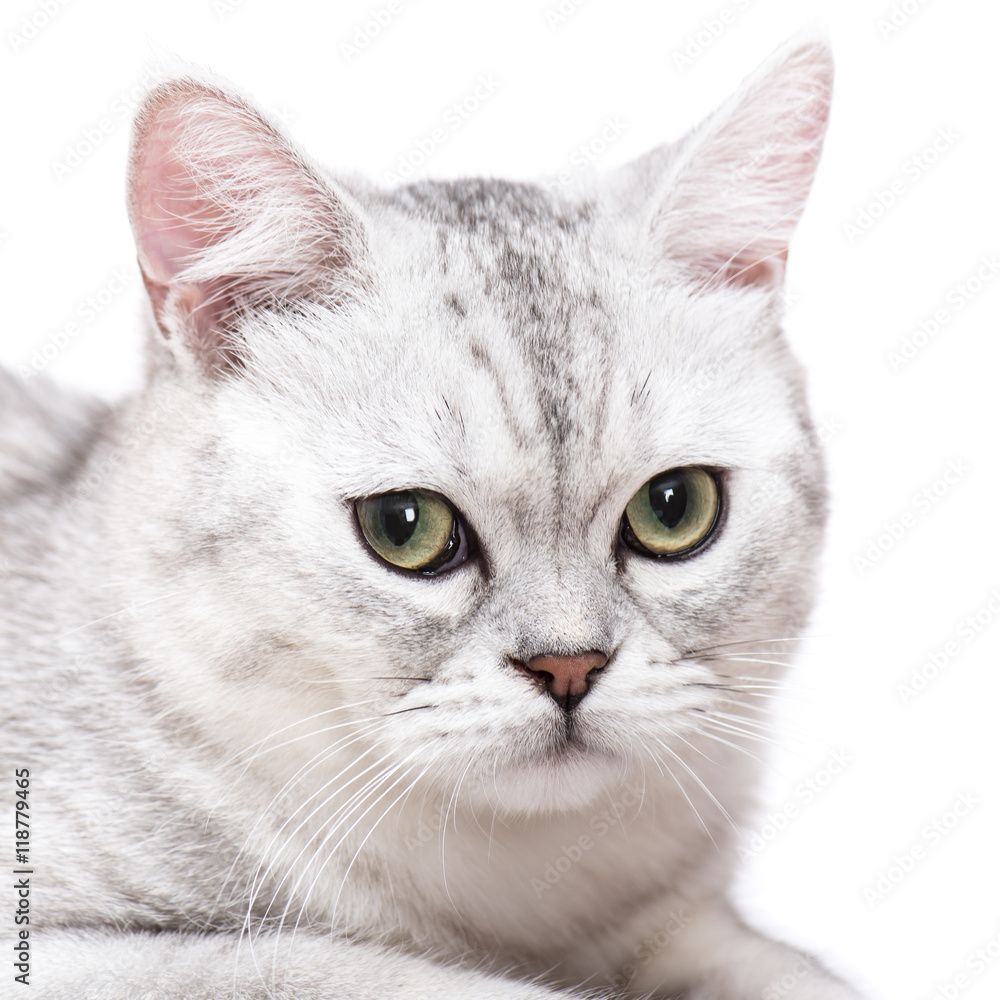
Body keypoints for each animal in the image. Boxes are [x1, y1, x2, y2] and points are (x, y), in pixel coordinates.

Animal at [0, 33, 860, 1000]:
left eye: (674, 509)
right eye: (404, 526)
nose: (569, 666)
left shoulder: (681, 921)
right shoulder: (77, 947)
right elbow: (363, 971)